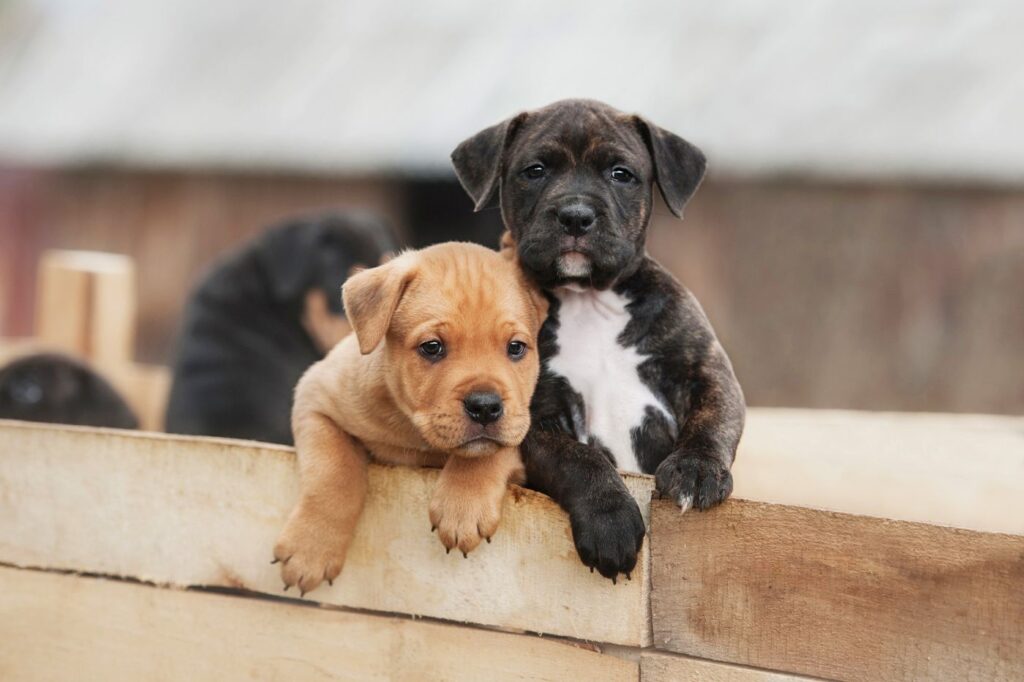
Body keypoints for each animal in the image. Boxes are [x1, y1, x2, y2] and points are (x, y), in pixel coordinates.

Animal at [270, 241, 544, 593]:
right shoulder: (315, 398)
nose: (485, 406)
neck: (417, 435)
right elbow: (333, 473)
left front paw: (462, 505)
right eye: (432, 347)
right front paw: (311, 548)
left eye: (516, 348)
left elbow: (489, 452)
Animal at [450, 99, 745, 577]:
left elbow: (711, 421)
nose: (575, 215)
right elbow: (578, 459)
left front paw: (696, 471)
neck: (587, 298)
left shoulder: (707, 372)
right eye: (535, 171)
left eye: (620, 173)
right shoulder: (532, 419)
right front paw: (610, 521)